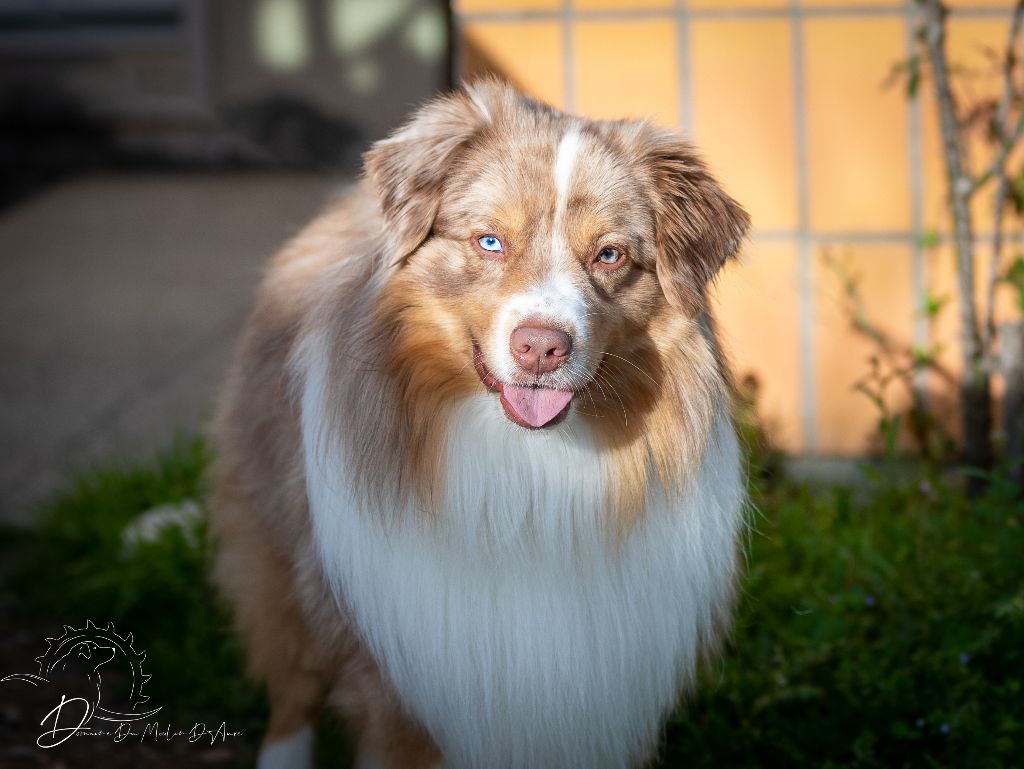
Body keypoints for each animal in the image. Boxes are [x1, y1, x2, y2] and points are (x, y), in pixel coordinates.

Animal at [209, 79, 753, 769]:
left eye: (609, 255)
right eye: (490, 241)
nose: (541, 348)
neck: (530, 467)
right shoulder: (407, 693)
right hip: (280, 540)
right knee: (292, 676)